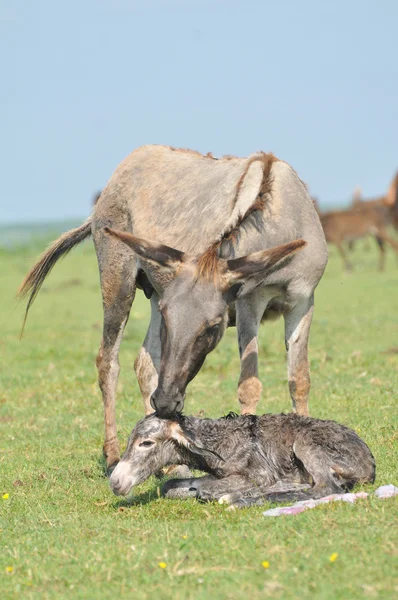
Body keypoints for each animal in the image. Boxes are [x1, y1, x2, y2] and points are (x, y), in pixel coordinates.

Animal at [109, 412, 376, 506]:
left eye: (146, 443)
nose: (115, 482)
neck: (218, 442)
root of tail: (369, 466)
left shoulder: (260, 474)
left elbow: (208, 491)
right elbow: (170, 486)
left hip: (305, 444)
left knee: (326, 488)